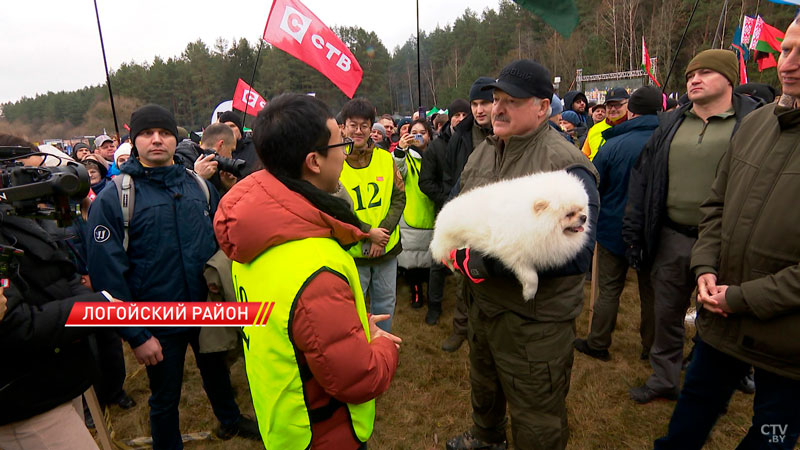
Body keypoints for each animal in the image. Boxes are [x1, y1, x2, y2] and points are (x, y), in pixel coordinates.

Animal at [434, 171, 592, 300]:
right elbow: (532, 277)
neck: (533, 222)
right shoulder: (516, 256)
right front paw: (529, 293)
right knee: (445, 256)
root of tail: (442, 213)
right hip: (447, 241)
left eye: (581, 209)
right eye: (569, 214)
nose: (584, 217)